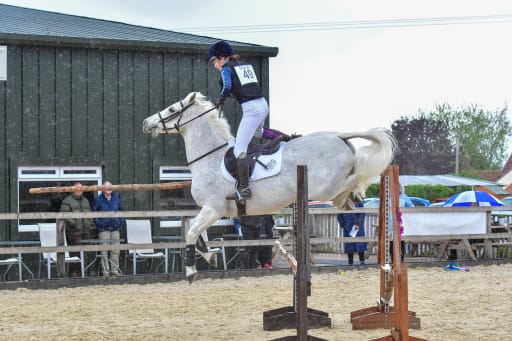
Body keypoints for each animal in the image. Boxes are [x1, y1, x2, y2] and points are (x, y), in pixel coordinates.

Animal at [142, 91, 398, 282]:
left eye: (172, 110)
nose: (146, 122)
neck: (210, 157)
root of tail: (338, 136)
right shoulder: (211, 209)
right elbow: (195, 229)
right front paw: (209, 255)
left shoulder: (214, 208)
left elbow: (192, 230)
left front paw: (191, 271)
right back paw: (351, 200)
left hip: (323, 188)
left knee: (353, 180)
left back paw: (352, 196)